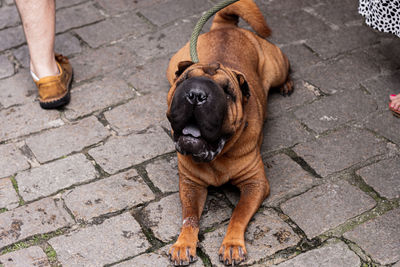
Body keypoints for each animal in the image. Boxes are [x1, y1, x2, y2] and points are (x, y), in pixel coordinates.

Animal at [164, 0, 292, 266]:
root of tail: (226, 26)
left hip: (277, 66)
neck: (217, 158)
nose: (196, 94)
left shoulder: (255, 183)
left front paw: (232, 244)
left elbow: (238, 214)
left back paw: (287, 84)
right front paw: (183, 244)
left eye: (227, 91)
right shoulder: (190, 183)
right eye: (185, 81)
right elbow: (190, 216)